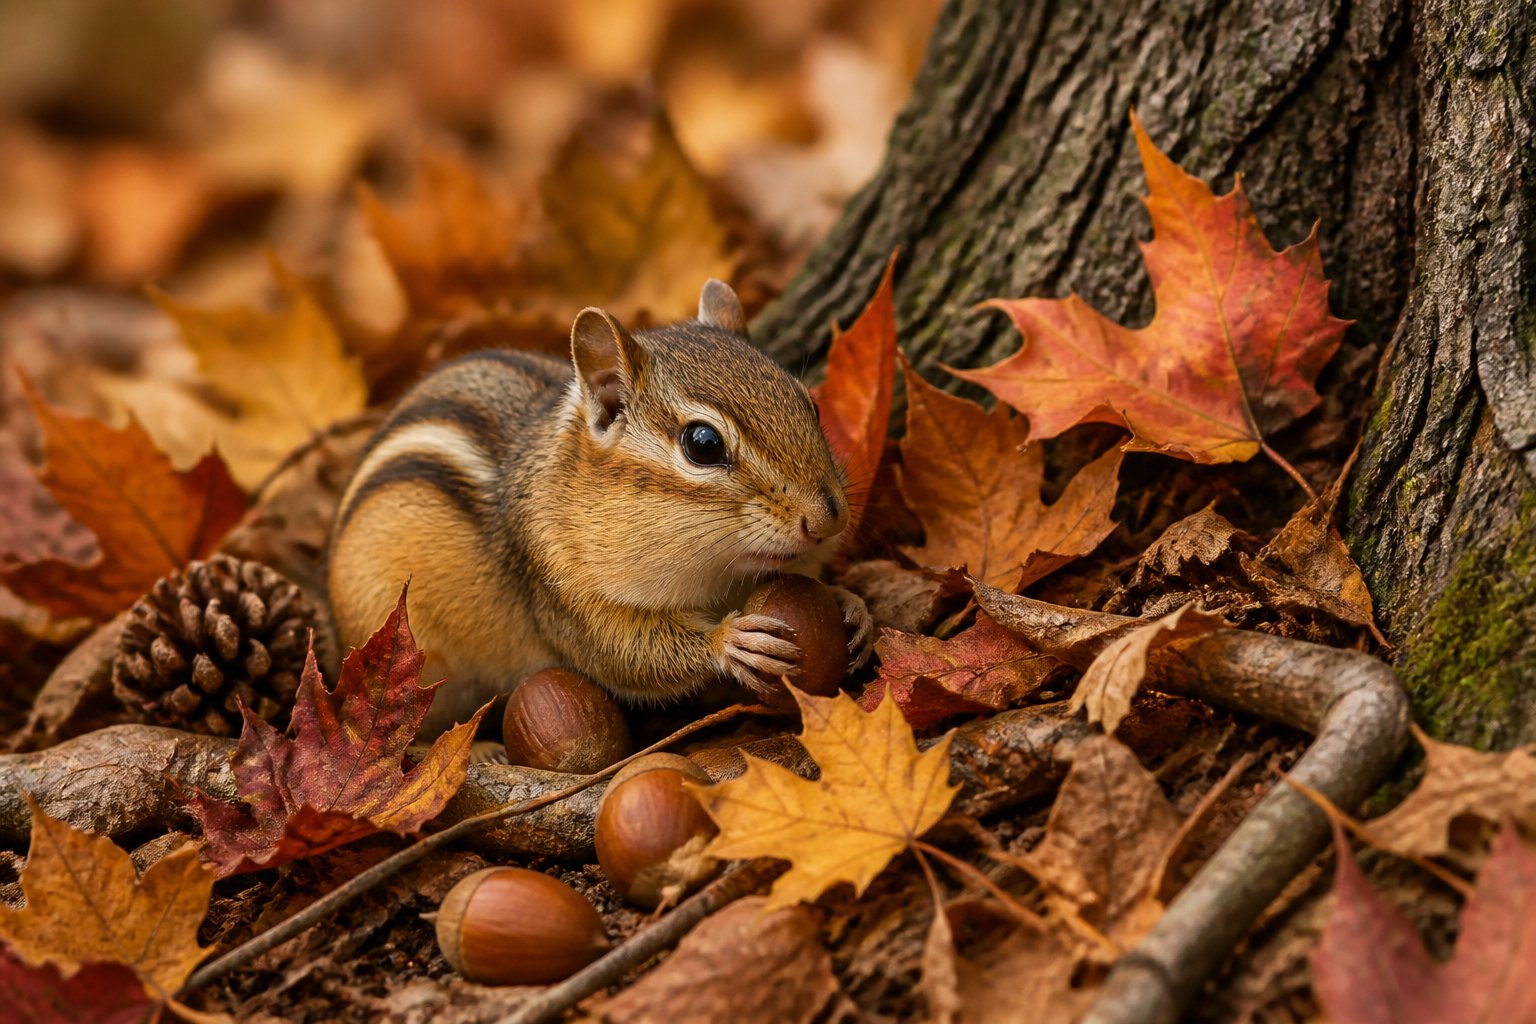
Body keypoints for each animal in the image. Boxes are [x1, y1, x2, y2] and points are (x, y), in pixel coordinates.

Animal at [327, 280, 871, 736]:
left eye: (811, 405)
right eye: (703, 443)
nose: (830, 519)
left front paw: (852, 605)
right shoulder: (563, 591)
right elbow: (624, 654)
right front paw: (727, 641)